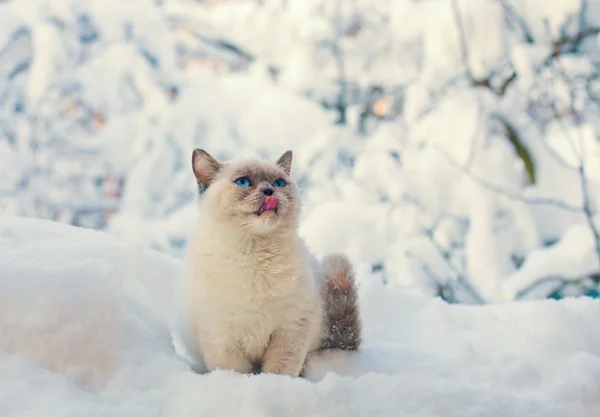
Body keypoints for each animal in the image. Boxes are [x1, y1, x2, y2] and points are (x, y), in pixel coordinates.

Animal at [173, 148, 360, 376]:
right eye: (244, 182)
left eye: (279, 183)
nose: (269, 190)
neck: (255, 259)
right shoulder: (222, 338)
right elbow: (237, 373)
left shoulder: (290, 330)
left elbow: (278, 372)